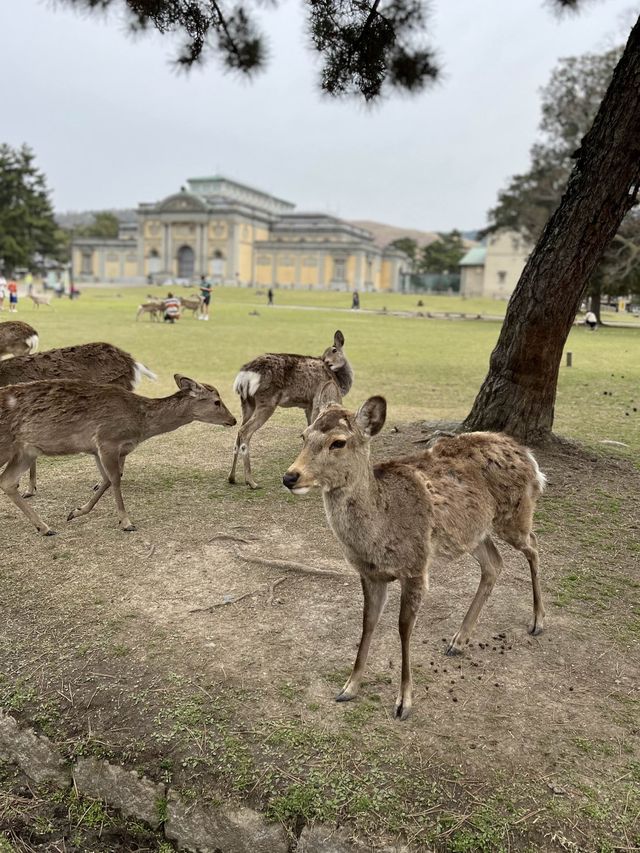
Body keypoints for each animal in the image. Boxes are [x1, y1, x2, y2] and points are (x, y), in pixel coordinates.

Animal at [0, 372, 235, 532]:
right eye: (217, 402)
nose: (233, 419)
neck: (140, 424)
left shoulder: (102, 450)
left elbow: (106, 480)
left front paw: (75, 512)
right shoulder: (108, 441)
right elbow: (115, 480)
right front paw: (126, 522)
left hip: (26, 452)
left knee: (7, 481)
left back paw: (45, 528)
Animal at [229, 330, 352, 490]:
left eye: (334, 350)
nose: (327, 362)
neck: (339, 382)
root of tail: (243, 376)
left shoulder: (307, 405)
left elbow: (310, 427)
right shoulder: (316, 399)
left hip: (246, 404)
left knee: (238, 432)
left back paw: (232, 478)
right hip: (266, 402)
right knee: (245, 431)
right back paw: (251, 482)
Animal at [284, 398, 544, 720]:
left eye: (338, 442)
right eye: (304, 436)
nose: (290, 476)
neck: (379, 531)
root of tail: (530, 458)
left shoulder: (416, 567)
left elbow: (403, 628)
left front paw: (403, 702)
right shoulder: (370, 574)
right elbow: (367, 622)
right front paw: (349, 687)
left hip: (514, 516)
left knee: (533, 545)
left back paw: (538, 621)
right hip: (472, 532)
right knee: (494, 564)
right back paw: (458, 640)